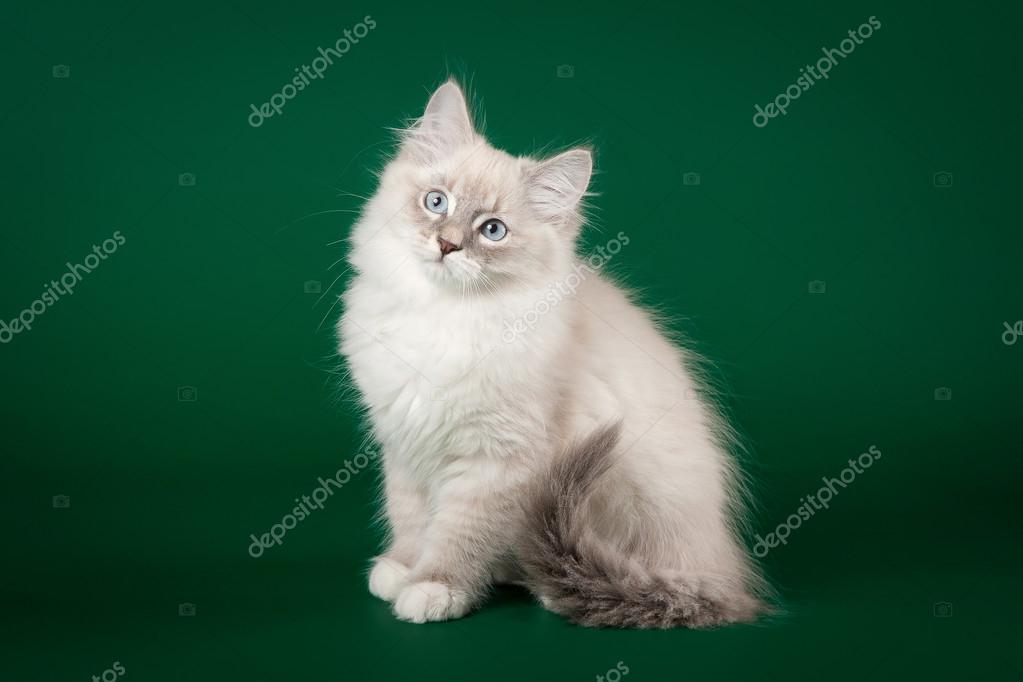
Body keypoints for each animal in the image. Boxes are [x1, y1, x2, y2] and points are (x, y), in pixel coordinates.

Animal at [339, 81, 769, 629]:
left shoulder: (496, 460)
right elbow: (411, 517)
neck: (445, 316)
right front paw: (402, 568)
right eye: (436, 202)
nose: (446, 244)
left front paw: (434, 587)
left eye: (493, 230)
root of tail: (725, 572)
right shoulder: (406, 442)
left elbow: (459, 533)